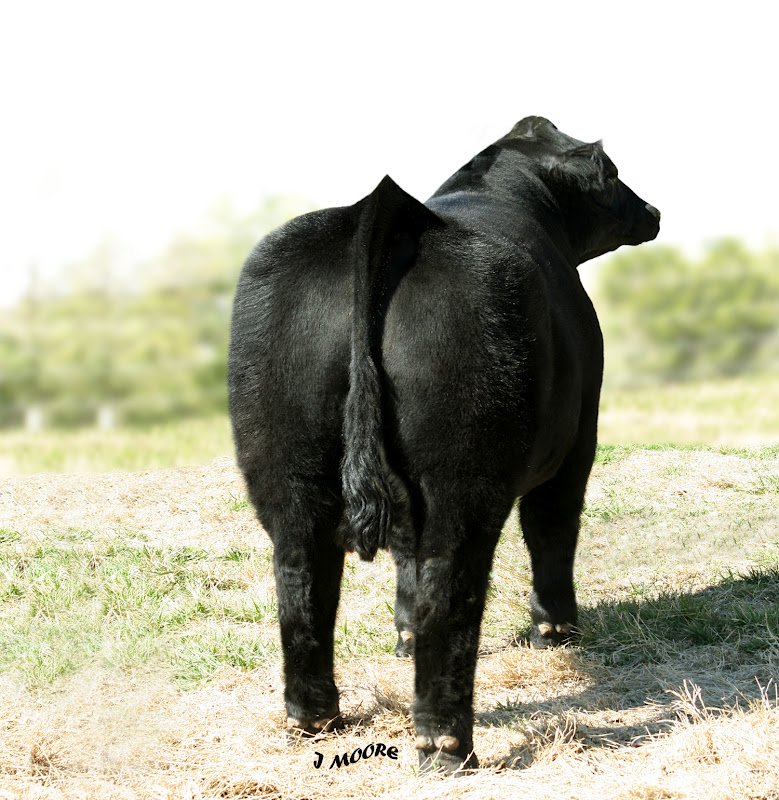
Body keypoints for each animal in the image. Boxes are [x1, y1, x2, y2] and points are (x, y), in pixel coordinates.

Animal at [228, 116, 660, 772]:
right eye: (613, 175)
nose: (653, 210)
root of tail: (389, 210)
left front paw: (401, 636)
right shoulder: (579, 436)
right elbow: (553, 528)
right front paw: (557, 630)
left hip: (284, 460)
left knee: (301, 577)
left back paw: (316, 718)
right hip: (463, 474)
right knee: (450, 584)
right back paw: (447, 743)